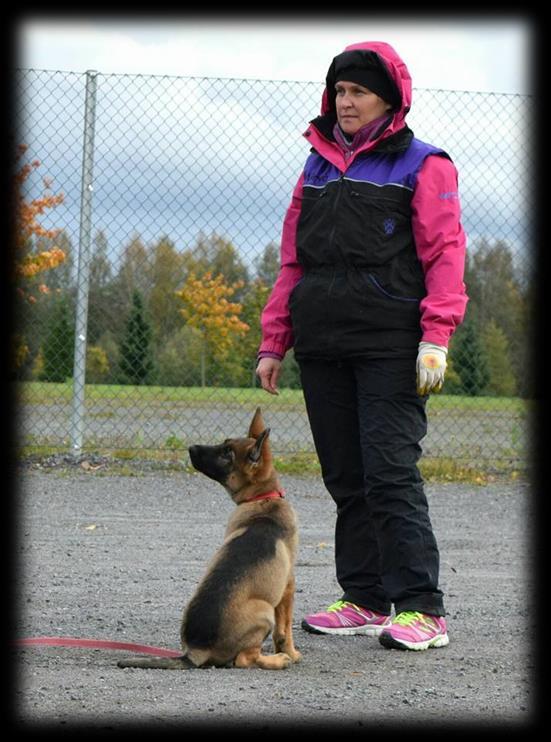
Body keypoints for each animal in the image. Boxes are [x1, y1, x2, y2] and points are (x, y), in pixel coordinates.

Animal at [117, 410, 302, 672]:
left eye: (227, 453)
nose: (191, 447)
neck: (262, 499)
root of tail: (196, 650)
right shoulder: (288, 587)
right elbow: (284, 631)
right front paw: (291, 653)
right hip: (265, 611)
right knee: (244, 659)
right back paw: (276, 660)